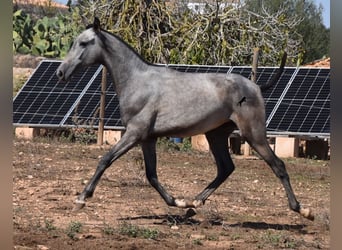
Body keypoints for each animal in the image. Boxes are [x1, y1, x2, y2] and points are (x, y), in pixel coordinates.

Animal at [57, 18, 314, 221]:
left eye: (84, 43)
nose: (61, 72)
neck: (138, 81)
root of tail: (256, 86)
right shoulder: (147, 139)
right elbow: (151, 175)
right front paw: (180, 202)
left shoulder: (134, 133)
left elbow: (105, 160)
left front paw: (81, 199)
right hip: (216, 135)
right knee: (226, 168)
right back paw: (194, 203)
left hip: (254, 134)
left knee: (278, 166)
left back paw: (303, 210)